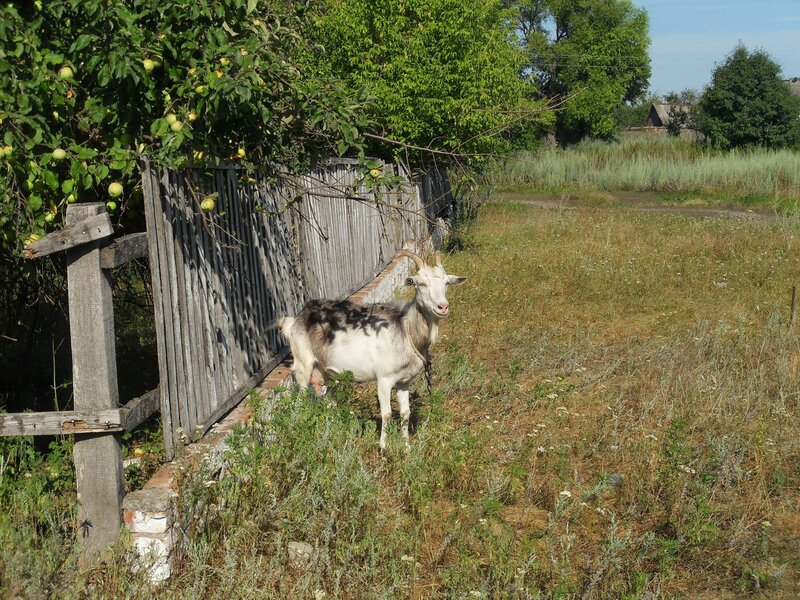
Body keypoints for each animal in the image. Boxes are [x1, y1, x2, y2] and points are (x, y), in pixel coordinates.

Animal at [278, 250, 466, 449]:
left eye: (446, 283)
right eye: (421, 283)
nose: (443, 307)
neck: (405, 329)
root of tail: (294, 321)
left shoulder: (404, 381)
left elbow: (405, 413)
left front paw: (406, 446)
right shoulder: (383, 379)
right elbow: (387, 413)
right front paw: (383, 446)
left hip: (324, 371)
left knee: (327, 400)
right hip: (303, 364)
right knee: (300, 399)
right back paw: (296, 430)